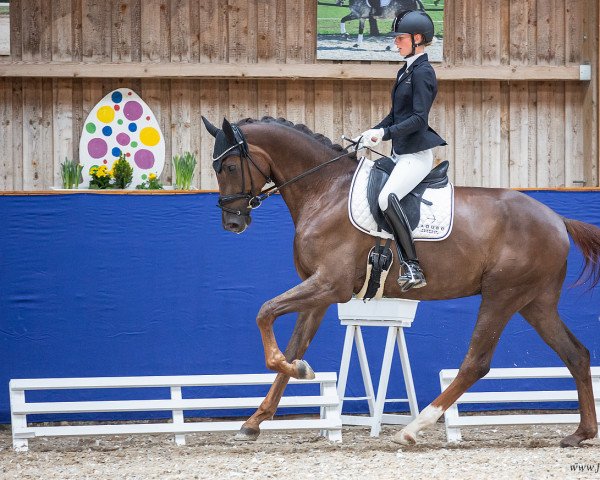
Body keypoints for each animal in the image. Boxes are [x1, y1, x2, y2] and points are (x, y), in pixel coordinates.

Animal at [203, 115, 600, 446]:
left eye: (231, 166)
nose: (232, 222)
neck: (325, 190)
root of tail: (556, 219)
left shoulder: (329, 284)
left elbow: (265, 313)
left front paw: (296, 374)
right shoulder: (319, 292)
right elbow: (294, 346)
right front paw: (255, 421)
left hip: (502, 295)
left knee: (477, 362)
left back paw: (412, 429)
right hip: (535, 302)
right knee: (576, 355)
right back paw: (581, 433)